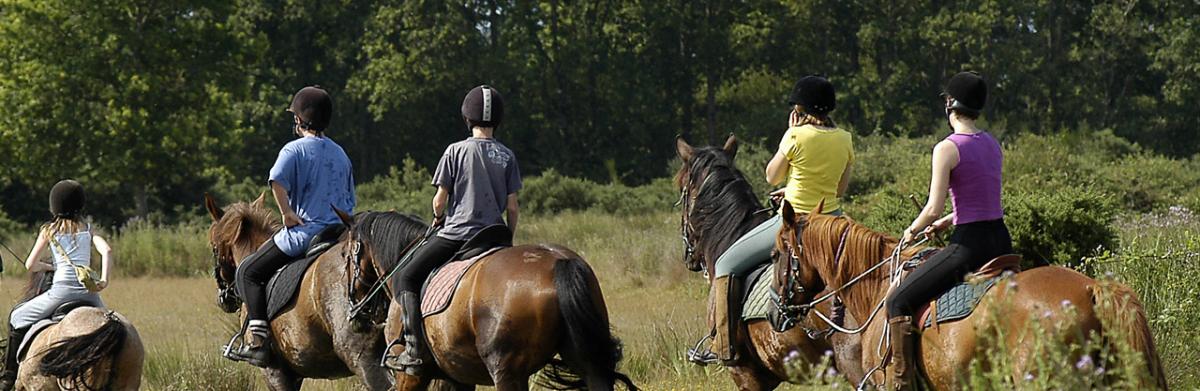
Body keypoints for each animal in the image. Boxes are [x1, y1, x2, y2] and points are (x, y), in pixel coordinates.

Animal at [338, 211, 638, 391]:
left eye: (344, 255)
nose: (355, 310)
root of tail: (559, 262)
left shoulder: (410, 375)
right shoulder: (457, 376)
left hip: (507, 372)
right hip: (585, 361)